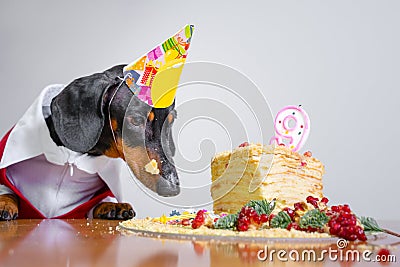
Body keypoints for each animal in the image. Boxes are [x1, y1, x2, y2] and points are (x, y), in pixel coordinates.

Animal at [0, 65, 180, 222]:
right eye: (136, 120)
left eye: (171, 122)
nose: (173, 188)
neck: (72, 158)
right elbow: (6, 190)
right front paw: (5, 203)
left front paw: (111, 206)